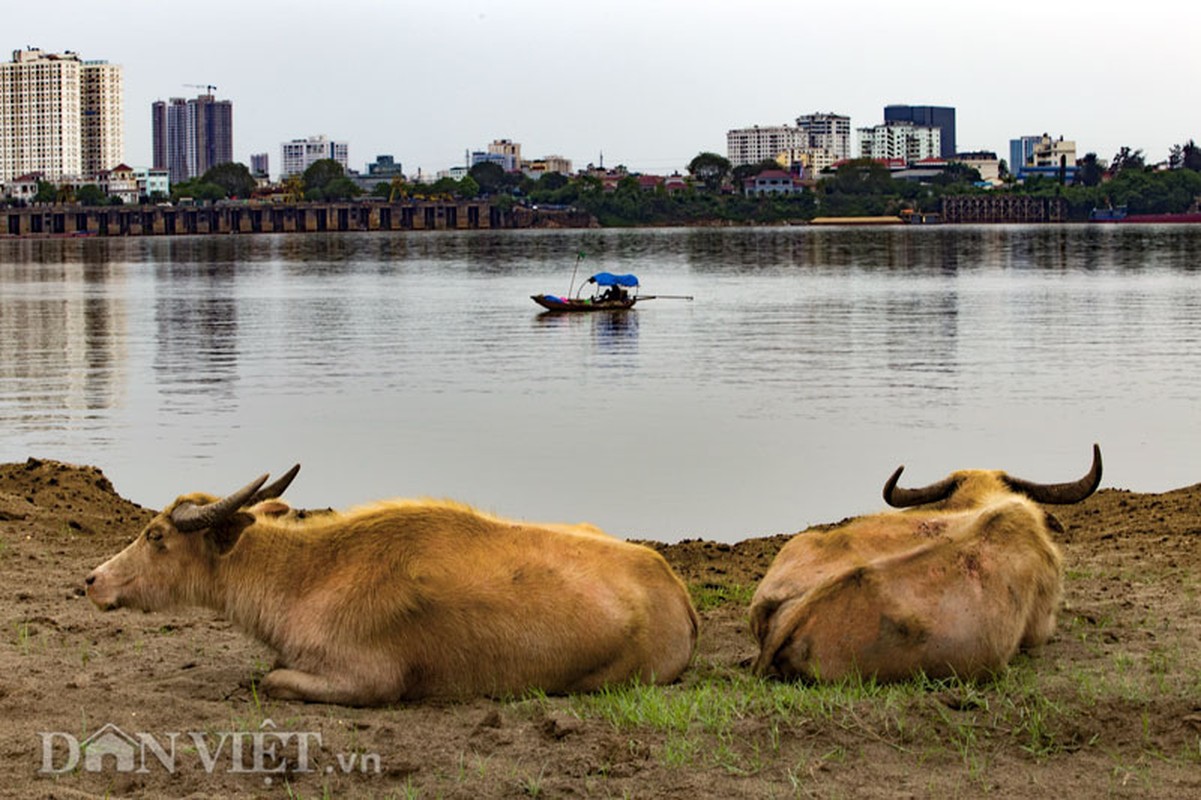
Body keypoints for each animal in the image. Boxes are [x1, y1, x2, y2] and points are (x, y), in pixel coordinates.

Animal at [87, 468, 696, 706]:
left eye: (156, 535)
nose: (93, 580)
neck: (307, 575)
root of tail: (678, 592)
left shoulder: (369, 683)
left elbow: (271, 679)